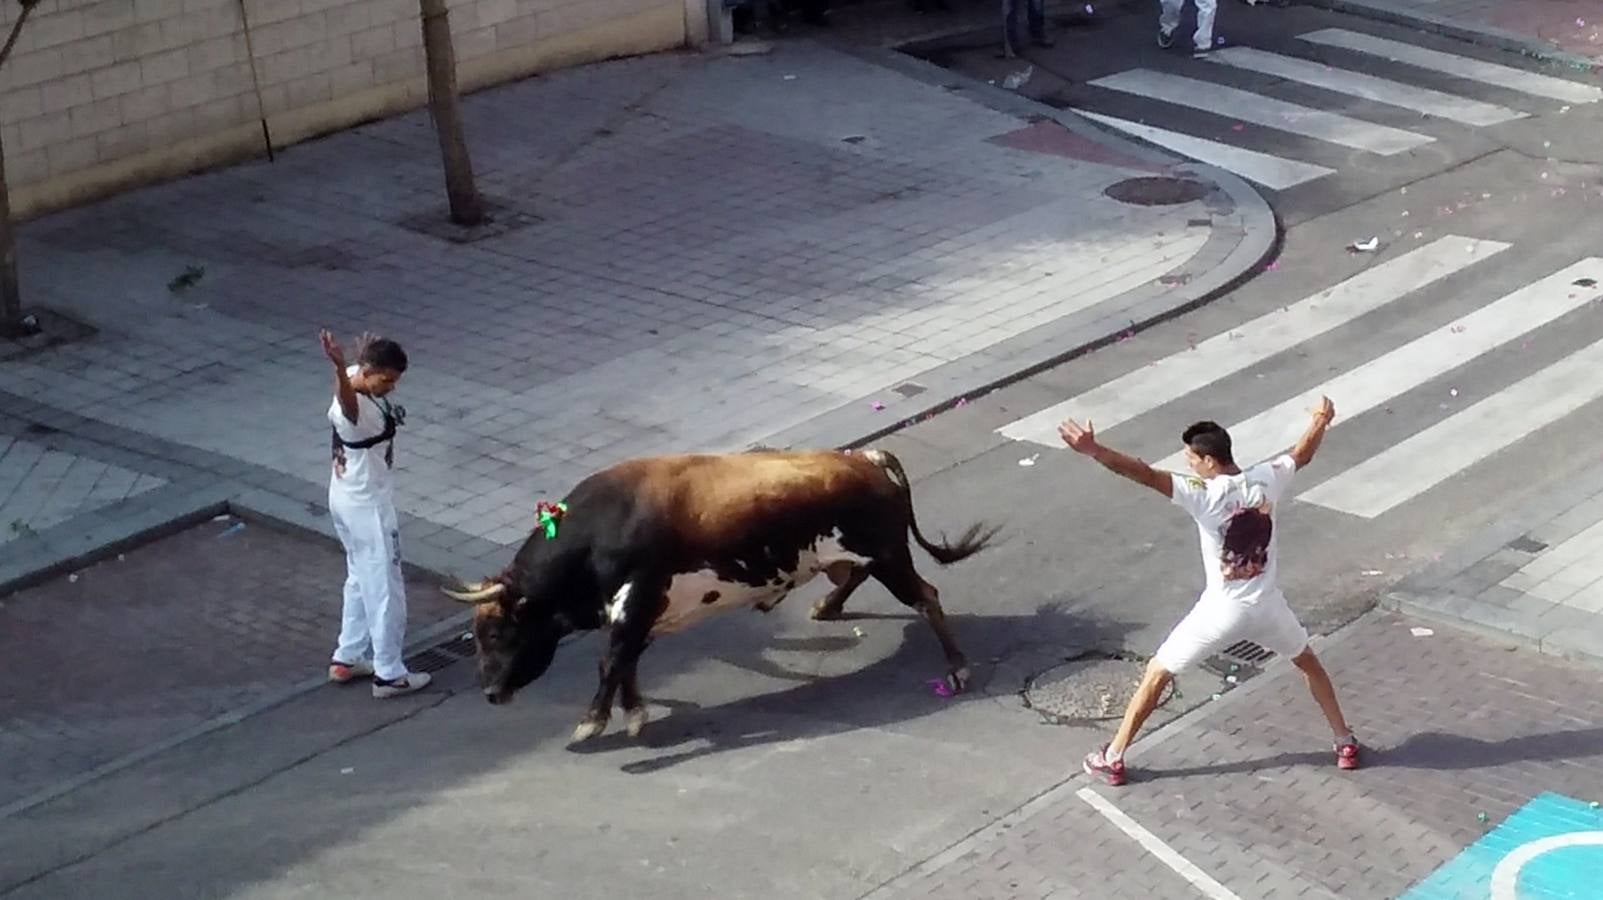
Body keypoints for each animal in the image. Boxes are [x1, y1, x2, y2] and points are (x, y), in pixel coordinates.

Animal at [445, 445, 993, 741]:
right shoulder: (647, 609)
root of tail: (865, 457)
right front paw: (635, 714)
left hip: (887, 555)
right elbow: (626, 660)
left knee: (926, 595)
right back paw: (825, 606)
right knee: (856, 578)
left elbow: (612, 658)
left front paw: (592, 721)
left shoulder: (637, 597)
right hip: (854, 555)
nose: (490, 693)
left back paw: (958, 667)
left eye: (495, 632)